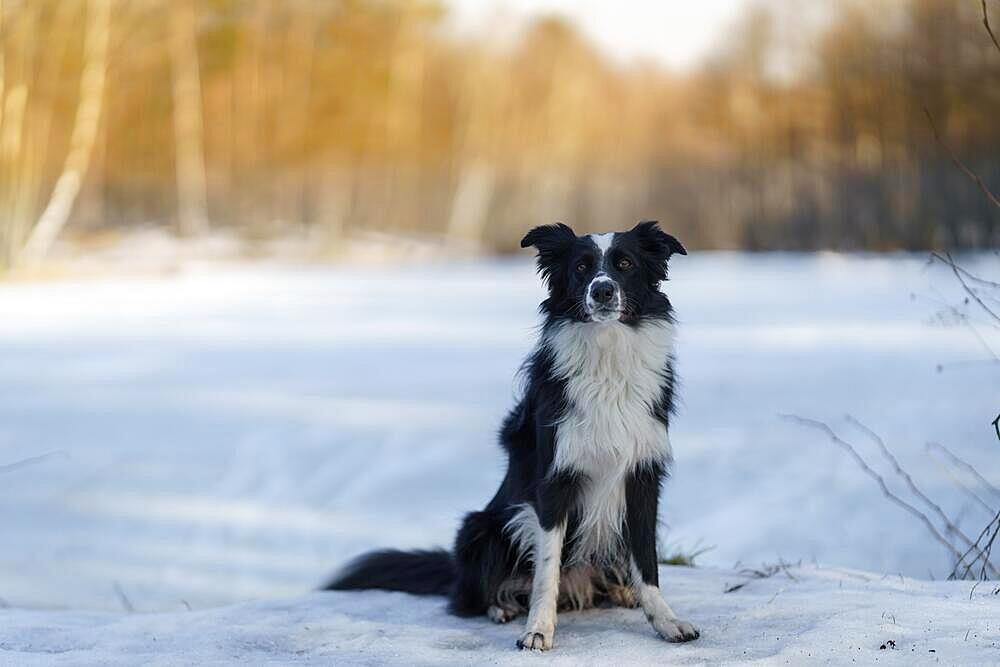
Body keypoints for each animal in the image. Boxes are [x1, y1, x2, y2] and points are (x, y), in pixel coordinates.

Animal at [324, 222, 700, 648]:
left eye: (625, 264)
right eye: (581, 268)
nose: (602, 290)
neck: (607, 354)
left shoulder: (642, 477)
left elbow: (647, 563)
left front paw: (666, 620)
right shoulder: (554, 483)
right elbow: (547, 570)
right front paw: (538, 630)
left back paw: (621, 591)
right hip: (480, 529)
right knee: (470, 596)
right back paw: (500, 607)